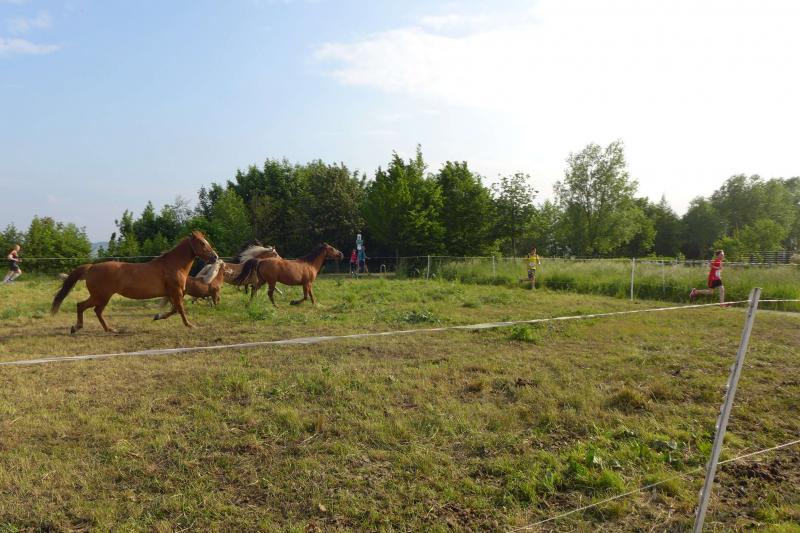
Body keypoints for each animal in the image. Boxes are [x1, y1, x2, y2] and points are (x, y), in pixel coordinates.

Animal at [51, 231, 219, 333]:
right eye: (202, 243)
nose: (215, 257)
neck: (173, 265)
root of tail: (91, 267)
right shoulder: (176, 292)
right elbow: (180, 310)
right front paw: (191, 325)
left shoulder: (173, 294)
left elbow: (174, 310)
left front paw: (157, 316)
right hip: (101, 296)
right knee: (84, 307)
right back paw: (79, 327)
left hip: (101, 297)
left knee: (94, 310)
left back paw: (108, 329)